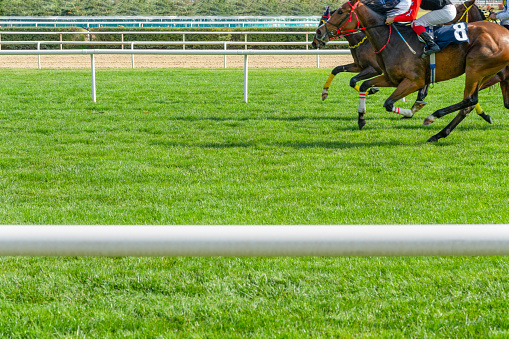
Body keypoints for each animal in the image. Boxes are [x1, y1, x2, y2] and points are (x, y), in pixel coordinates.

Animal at [314, 0, 508, 142]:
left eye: (340, 12)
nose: (318, 34)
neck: (390, 39)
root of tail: (504, 33)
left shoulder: (414, 81)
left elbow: (388, 103)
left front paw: (412, 111)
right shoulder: (389, 78)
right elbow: (362, 85)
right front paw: (361, 118)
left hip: (475, 69)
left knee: (469, 99)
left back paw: (432, 117)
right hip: (483, 73)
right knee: (469, 103)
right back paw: (439, 134)